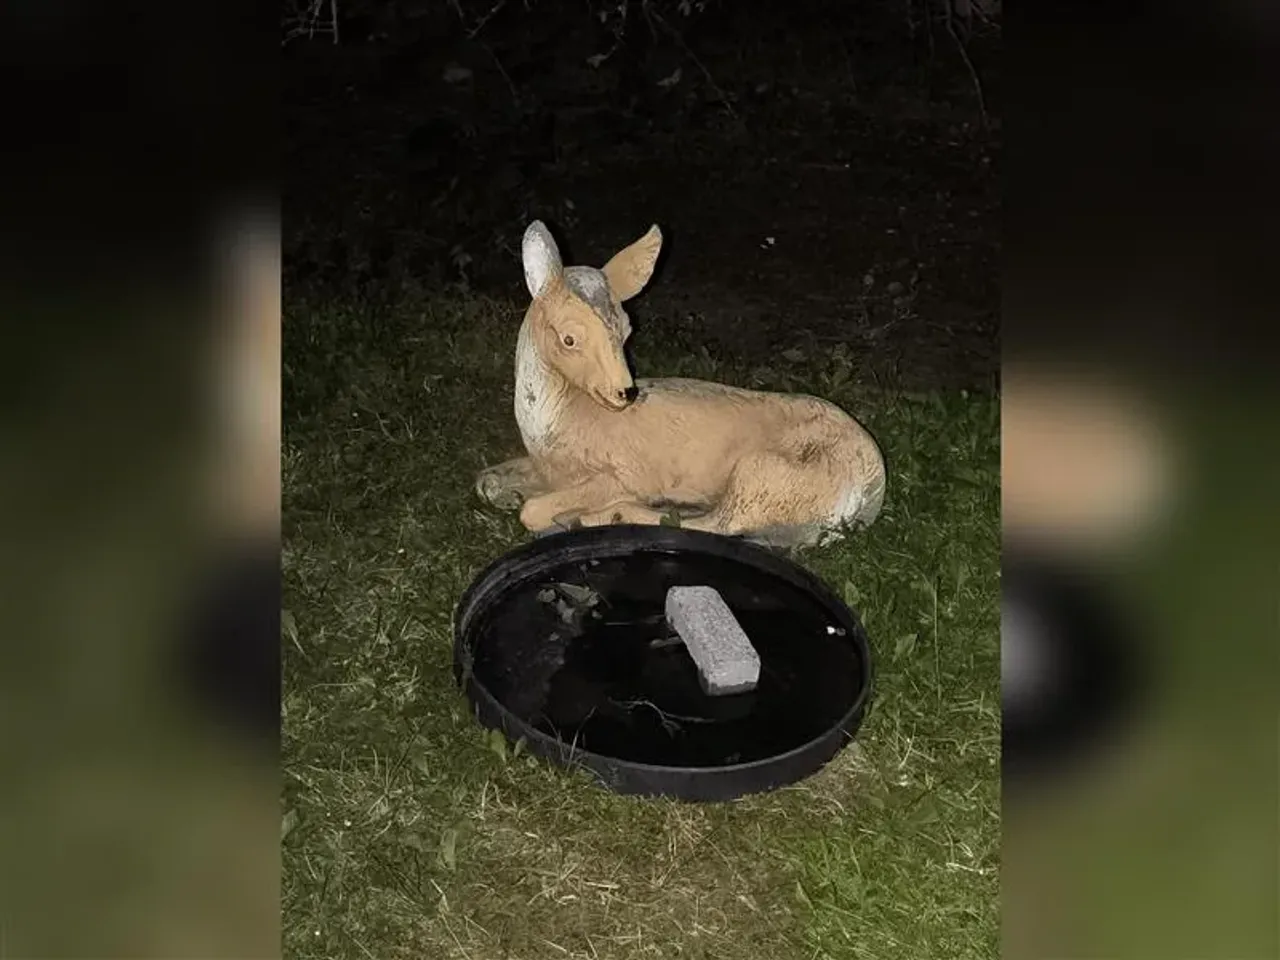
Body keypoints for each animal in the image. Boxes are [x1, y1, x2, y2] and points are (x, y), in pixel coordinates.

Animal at [474, 220, 887, 549]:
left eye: (628, 329)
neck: (565, 419)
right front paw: (508, 491)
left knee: (719, 526)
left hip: (765, 476)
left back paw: (609, 516)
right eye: (569, 339)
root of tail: (872, 490)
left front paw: (562, 512)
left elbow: (532, 510)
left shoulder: (623, 475)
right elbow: (486, 482)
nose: (626, 393)